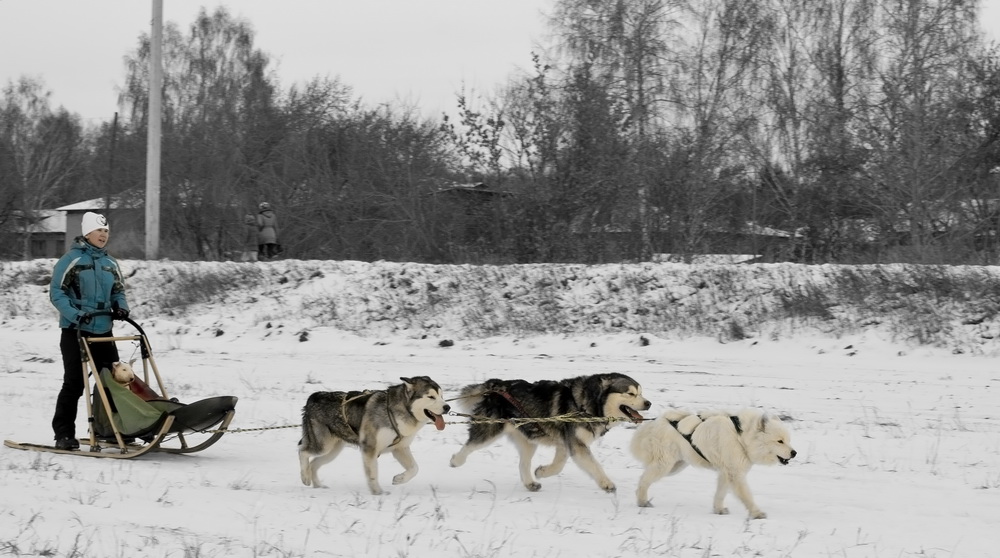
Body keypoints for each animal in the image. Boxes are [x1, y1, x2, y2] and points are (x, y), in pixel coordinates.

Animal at [632, 406, 796, 520]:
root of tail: (656, 422)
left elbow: (720, 494)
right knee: (644, 480)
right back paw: (642, 501)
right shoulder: (735, 475)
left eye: (788, 440)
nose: (794, 453)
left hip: (675, 466)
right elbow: (747, 496)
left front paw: (719, 510)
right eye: (779, 441)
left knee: (643, 477)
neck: (741, 437)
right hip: (665, 465)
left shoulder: (726, 473)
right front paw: (757, 513)